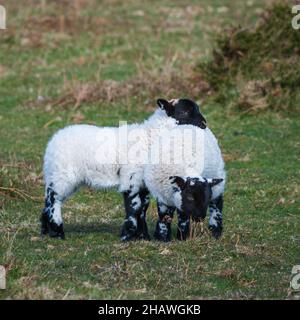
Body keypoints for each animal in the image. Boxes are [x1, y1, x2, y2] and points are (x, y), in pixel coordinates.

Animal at [40, 99, 206, 239]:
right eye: (184, 111)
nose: (205, 123)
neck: (150, 137)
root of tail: (52, 142)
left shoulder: (142, 182)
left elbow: (143, 208)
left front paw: (143, 236)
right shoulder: (130, 178)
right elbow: (134, 206)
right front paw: (128, 236)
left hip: (60, 176)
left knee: (49, 200)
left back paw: (46, 231)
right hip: (63, 174)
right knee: (54, 199)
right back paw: (58, 232)